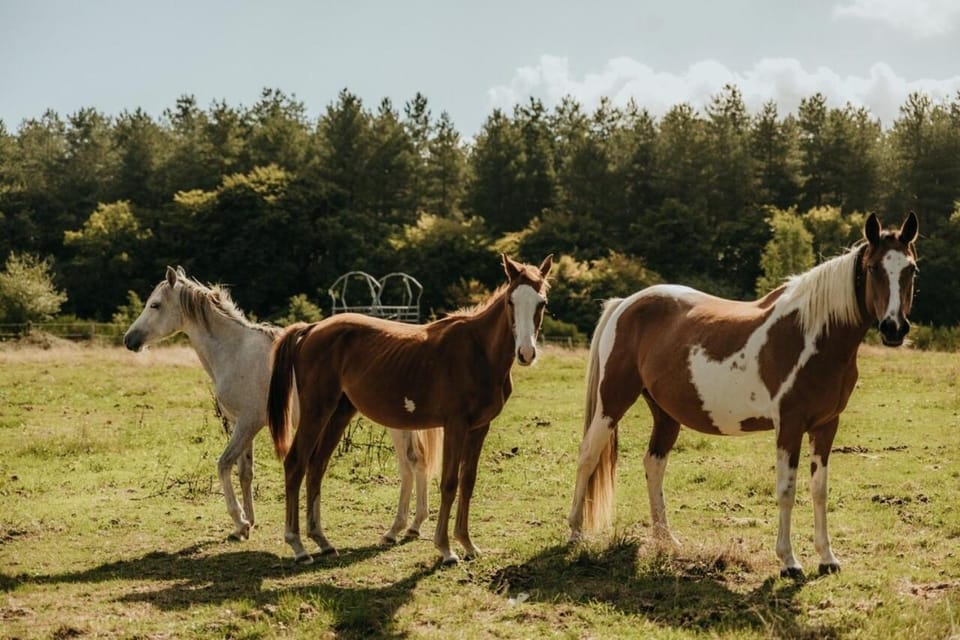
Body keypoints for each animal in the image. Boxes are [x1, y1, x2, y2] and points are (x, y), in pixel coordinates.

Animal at [122, 266, 441, 543]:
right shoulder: (243, 425)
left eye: (155, 305)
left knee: (410, 465)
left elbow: (224, 465)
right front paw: (247, 525)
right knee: (413, 464)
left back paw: (400, 527)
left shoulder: (248, 423)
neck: (236, 351)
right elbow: (245, 472)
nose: (129, 340)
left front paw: (240, 520)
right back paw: (408, 527)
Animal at [268, 254, 553, 565]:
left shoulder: (479, 428)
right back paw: (298, 545)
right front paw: (445, 548)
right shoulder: (455, 426)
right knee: (296, 463)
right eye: (511, 302)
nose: (526, 353)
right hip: (316, 411)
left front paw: (467, 543)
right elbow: (449, 482)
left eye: (542, 302)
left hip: (339, 413)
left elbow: (467, 482)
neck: (478, 352)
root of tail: (311, 329)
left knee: (317, 466)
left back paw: (322, 540)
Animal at [568, 212, 919, 579]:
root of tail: (624, 304)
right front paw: (789, 561)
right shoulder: (789, 426)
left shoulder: (826, 425)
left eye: (911, 270)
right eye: (875, 268)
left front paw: (827, 558)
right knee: (588, 456)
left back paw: (666, 539)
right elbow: (787, 490)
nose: (894, 328)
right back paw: (576, 532)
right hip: (611, 403)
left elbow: (819, 490)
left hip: (665, 414)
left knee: (654, 464)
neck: (813, 336)